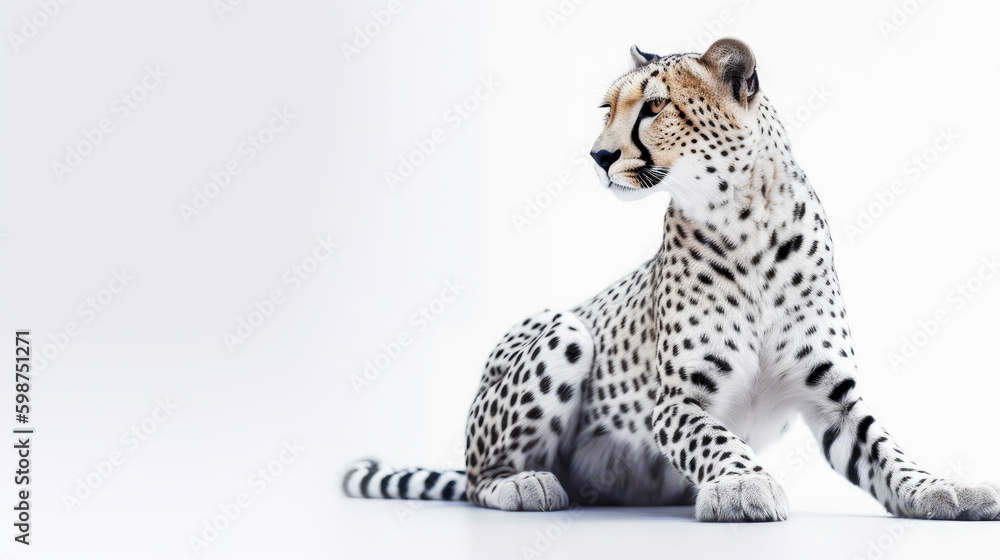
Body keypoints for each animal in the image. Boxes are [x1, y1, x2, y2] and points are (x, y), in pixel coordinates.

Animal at [343, 38, 1000, 522]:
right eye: (608, 108)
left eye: (655, 107)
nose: (598, 156)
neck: (748, 219)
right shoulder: (679, 402)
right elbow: (717, 441)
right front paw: (743, 486)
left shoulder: (833, 396)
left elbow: (886, 449)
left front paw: (941, 487)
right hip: (562, 329)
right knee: (480, 477)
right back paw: (525, 483)